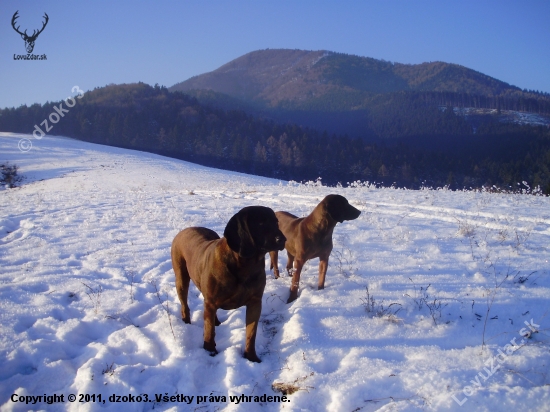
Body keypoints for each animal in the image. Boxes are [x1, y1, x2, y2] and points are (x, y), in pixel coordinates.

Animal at [171, 205, 284, 360]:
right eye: (261, 223)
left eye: (276, 222)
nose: (283, 239)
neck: (245, 265)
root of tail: (184, 230)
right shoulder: (211, 301)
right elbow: (209, 331)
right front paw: (210, 351)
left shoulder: (255, 302)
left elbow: (251, 333)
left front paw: (251, 357)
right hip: (181, 277)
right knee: (185, 303)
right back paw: (187, 321)